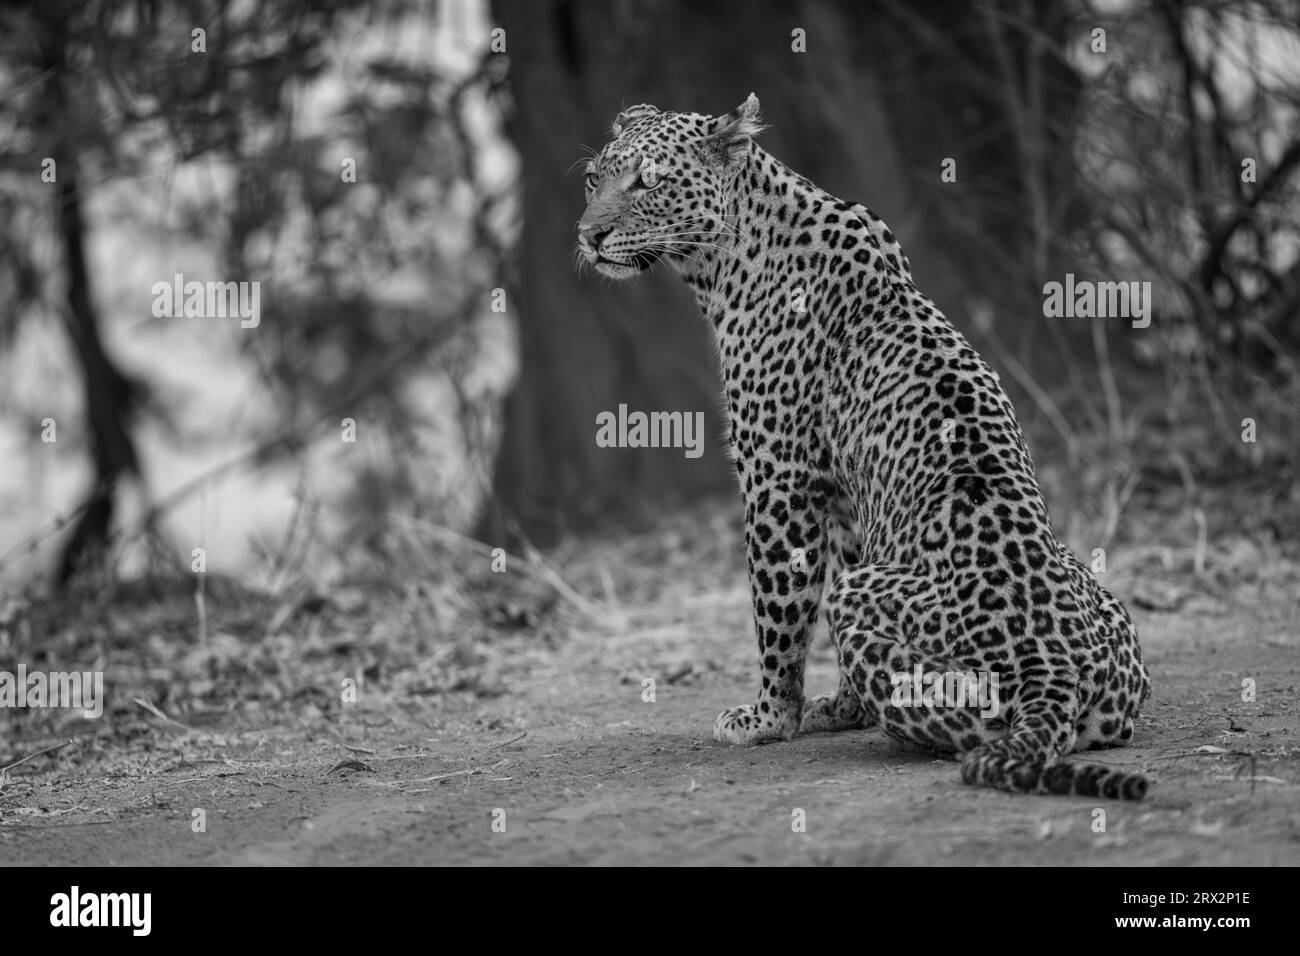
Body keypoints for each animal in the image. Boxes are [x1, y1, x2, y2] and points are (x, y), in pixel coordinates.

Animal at [575, 94, 1152, 799]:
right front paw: (839, 708)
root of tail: (1057, 670)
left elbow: (780, 610)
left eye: (649, 182)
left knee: (961, 719)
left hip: (878, 610)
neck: (725, 262)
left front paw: (769, 718)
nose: (589, 235)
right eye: (593, 179)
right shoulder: (847, 492)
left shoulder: (779, 481)